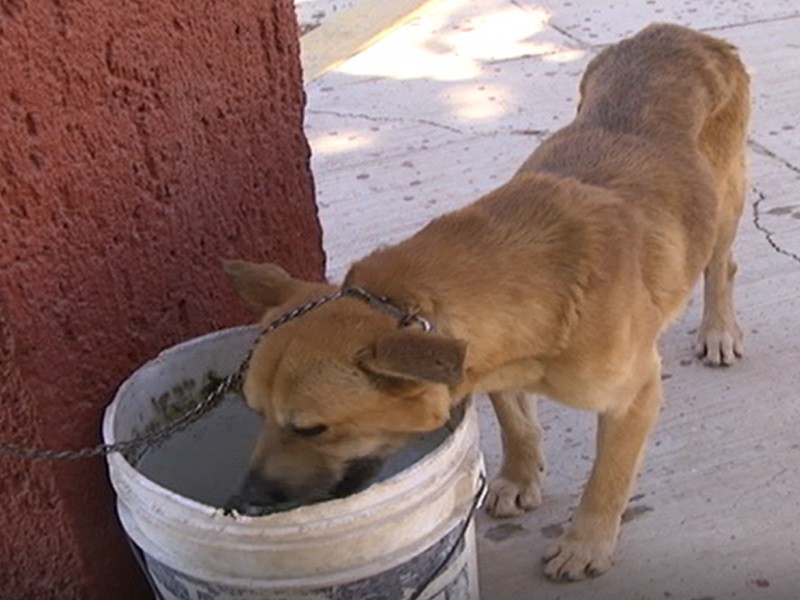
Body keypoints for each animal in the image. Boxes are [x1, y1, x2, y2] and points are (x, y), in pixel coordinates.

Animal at [222, 23, 748, 580]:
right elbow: (516, 426)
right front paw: (520, 477)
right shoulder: (496, 369)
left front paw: (586, 542)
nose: (243, 501)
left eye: (312, 428)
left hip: (725, 202)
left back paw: (718, 329)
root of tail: (677, 32)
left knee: (720, 265)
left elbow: (607, 478)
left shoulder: (634, 397)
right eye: (254, 412)